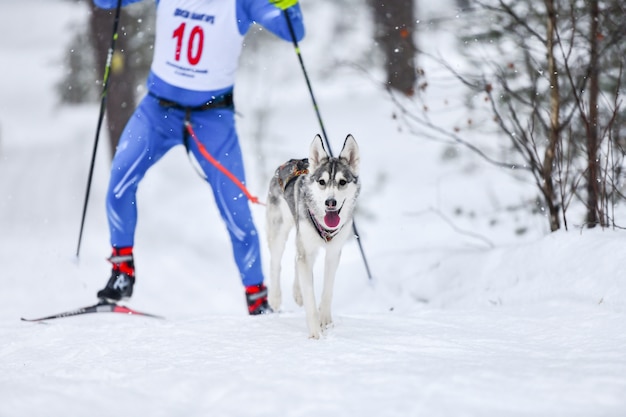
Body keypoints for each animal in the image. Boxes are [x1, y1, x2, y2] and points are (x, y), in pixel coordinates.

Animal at [264, 134, 360, 338]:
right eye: (322, 182)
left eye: (342, 182)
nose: (330, 202)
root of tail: (287, 163)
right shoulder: (306, 250)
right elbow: (310, 296)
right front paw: (315, 333)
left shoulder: (333, 252)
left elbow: (327, 290)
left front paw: (325, 319)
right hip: (280, 231)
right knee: (276, 262)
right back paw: (275, 297)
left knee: (295, 259)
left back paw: (297, 292)